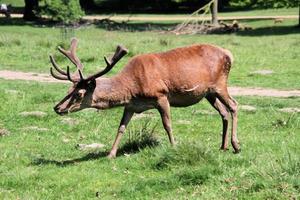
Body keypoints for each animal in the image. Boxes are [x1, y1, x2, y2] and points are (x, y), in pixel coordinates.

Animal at [49, 38, 241, 159]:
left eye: (79, 94)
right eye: (69, 89)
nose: (57, 108)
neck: (132, 88)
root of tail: (229, 54)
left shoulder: (161, 96)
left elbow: (167, 124)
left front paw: (174, 146)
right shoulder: (131, 105)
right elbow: (121, 127)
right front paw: (111, 154)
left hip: (220, 84)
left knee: (234, 105)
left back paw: (236, 145)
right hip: (208, 93)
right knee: (223, 112)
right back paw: (223, 146)